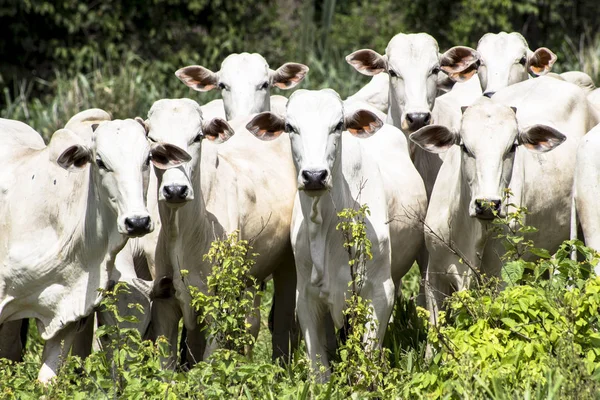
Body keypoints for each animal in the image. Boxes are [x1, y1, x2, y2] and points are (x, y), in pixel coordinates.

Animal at [147, 99, 298, 366]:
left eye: (197, 137)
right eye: (153, 140)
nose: (175, 190)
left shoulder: (218, 304)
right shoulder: (164, 303)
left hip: (287, 266)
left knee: (280, 321)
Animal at [245, 89, 426, 380]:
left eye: (338, 125)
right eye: (290, 127)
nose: (314, 176)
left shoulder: (380, 292)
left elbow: (366, 360)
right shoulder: (306, 298)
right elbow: (319, 368)